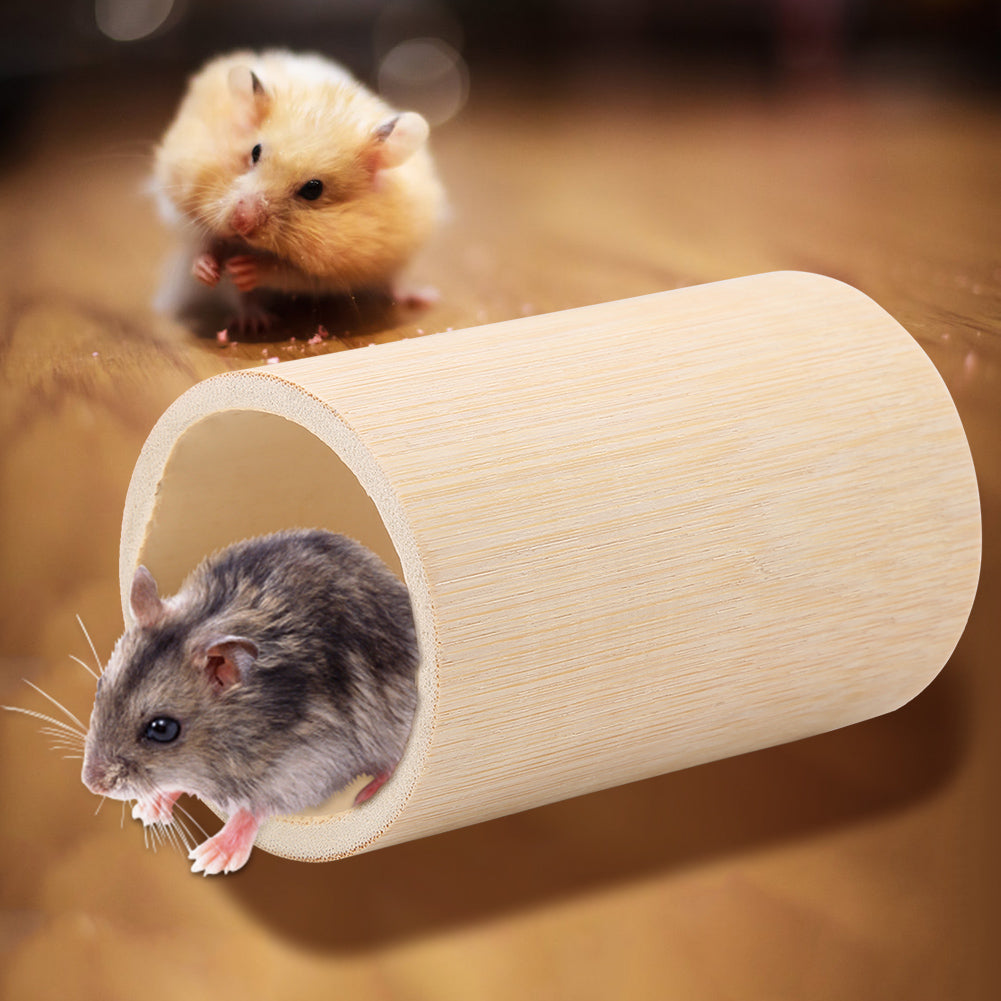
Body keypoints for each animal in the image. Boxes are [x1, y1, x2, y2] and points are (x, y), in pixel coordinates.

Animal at [81, 529, 419, 875]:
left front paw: (211, 858)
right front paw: (147, 808)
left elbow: (254, 808)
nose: (92, 784)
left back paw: (366, 793)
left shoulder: (310, 761)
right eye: (100, 685)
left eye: (162, 729)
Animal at [151, 49, 445, 329]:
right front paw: (206, 269)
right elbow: (204, 244)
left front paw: (245, 269)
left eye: (313, 189)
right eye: (255, 152)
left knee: (395, 281)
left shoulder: (338, 269)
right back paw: (253, 322)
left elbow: (290, 273)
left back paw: (422, 297)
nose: (240, 222)